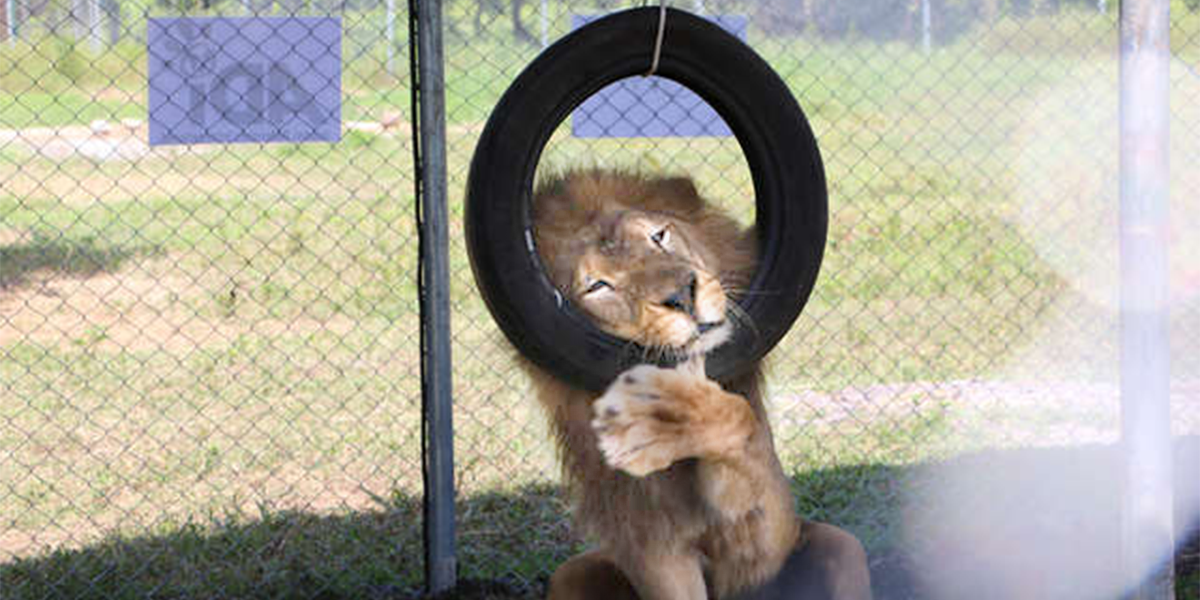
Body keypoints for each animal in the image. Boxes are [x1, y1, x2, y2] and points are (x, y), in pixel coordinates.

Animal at [522, 169, 873, 600]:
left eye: (658, 236)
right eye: (598, 286)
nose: (681, 296)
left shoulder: (763, 538)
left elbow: (739, 421)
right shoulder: (654, 549)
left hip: (843, 545)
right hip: (571, 573)